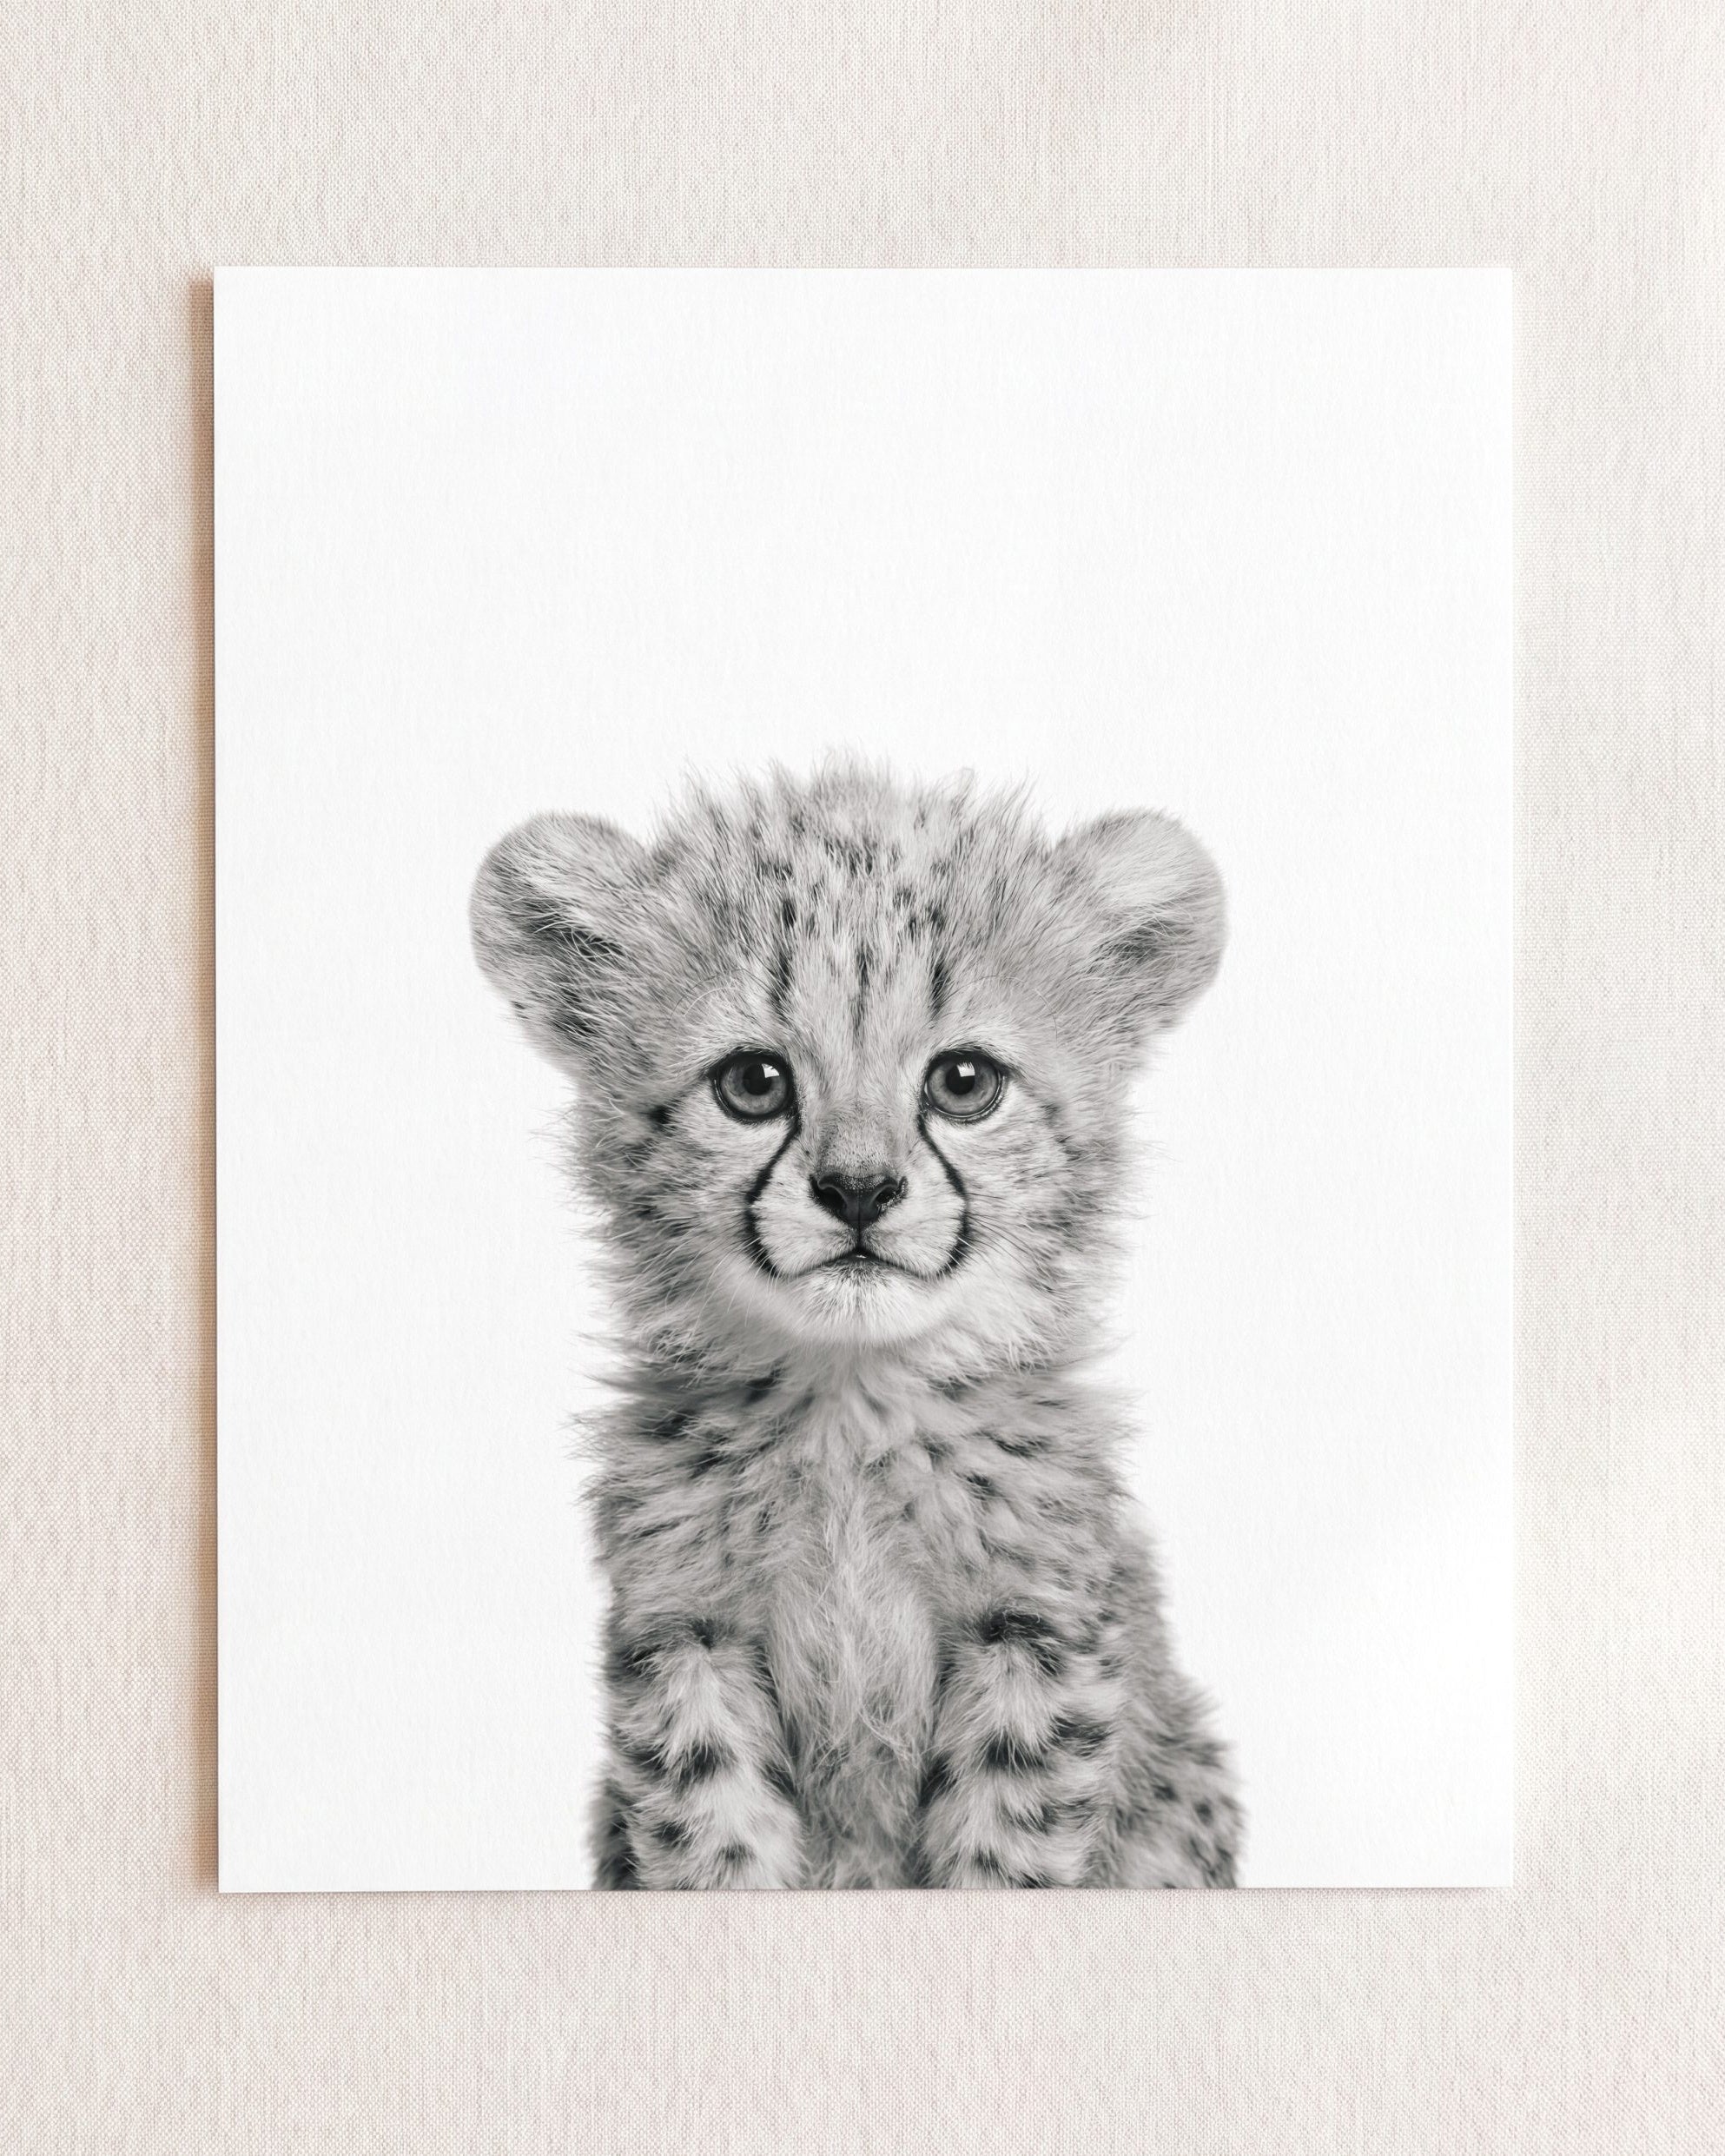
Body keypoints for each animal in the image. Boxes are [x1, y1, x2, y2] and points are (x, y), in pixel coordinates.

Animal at [471, 759, 1242, 1888]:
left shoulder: (1037, 1634)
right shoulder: (687, 1634)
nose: (860, 1190)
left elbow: (1005, 1855)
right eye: (753, 1082)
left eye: (964, 1082)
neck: (850, 1401)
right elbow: (715, 1840)